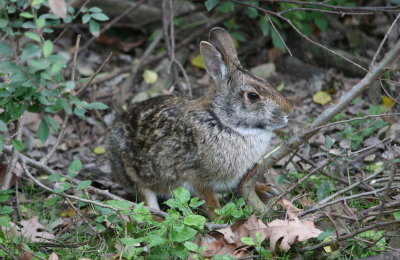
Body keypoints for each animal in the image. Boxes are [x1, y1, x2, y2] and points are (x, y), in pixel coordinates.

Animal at [108, 26, 292, 215]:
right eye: (253, 96)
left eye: (266, 81)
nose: (289, 112)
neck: (222, 121)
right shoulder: (198, 177)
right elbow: (210, 201)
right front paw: (221, 218)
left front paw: (265, 188)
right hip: (135, 174)